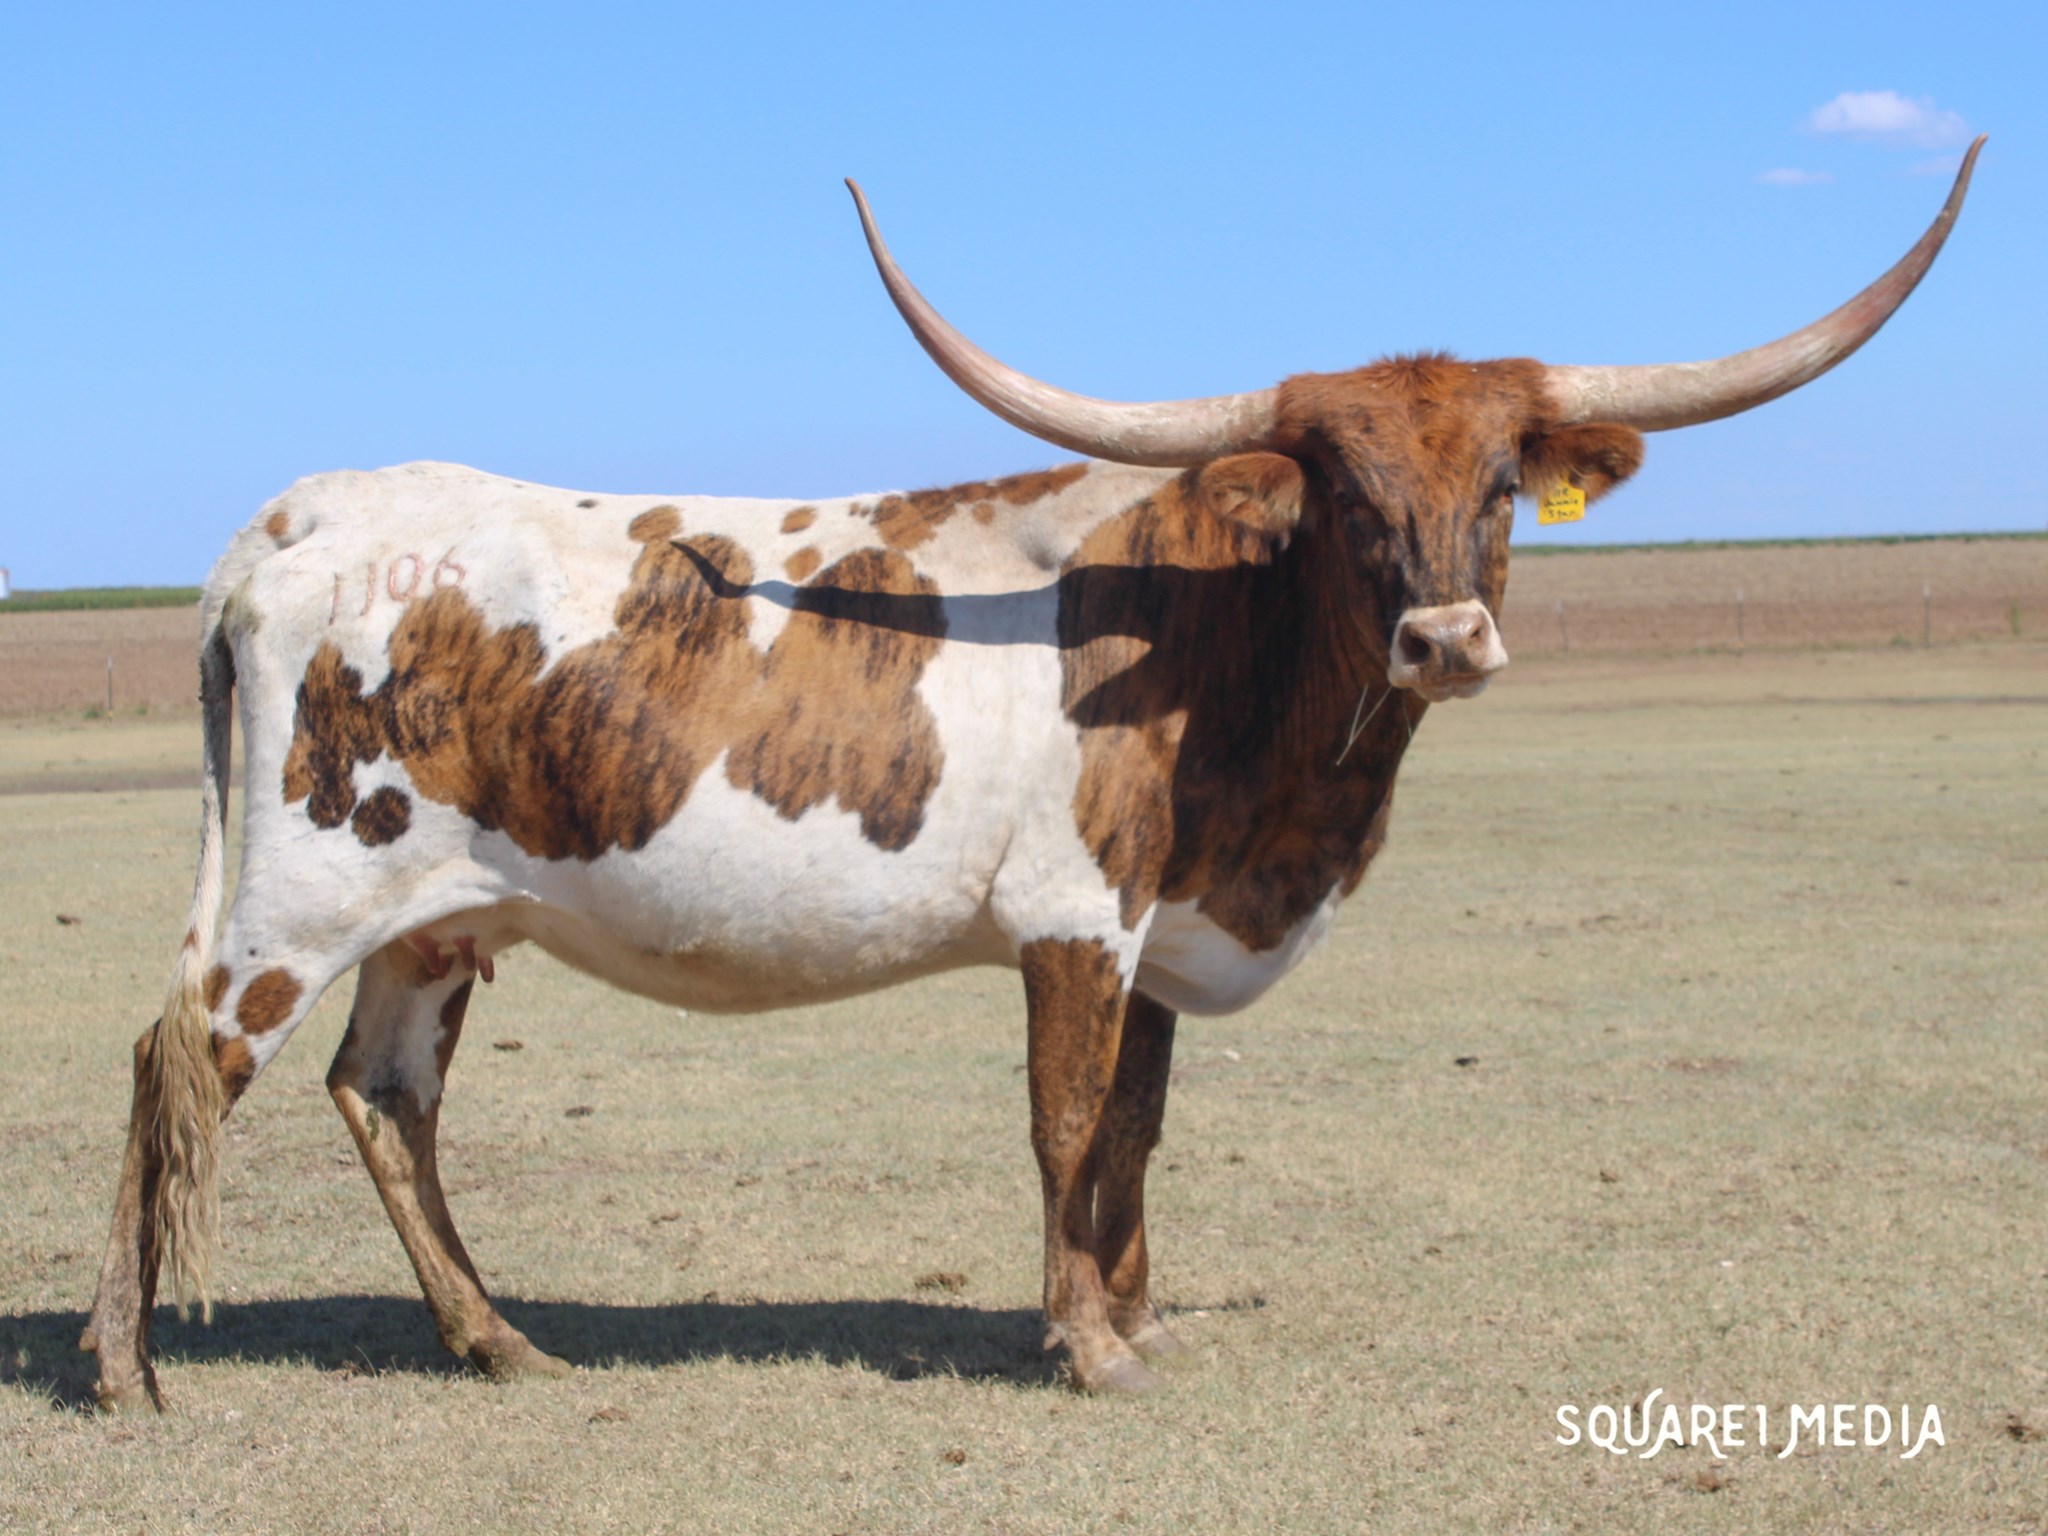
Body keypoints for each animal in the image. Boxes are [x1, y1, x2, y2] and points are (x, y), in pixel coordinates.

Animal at [82, 142, 1981, 1410]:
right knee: (179, 1064)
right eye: (1344, 492)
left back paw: (499, 1340)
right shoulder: (1075, 918)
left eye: (1504, 482)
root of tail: (302, 516)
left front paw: (1127, 1315)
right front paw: (1082, 1343)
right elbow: (1064, 1120)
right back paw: (118, 1365)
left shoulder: (1159, 927)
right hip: (291, 892)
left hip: (433, 913)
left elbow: (1135, 1125)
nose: (1445, 639)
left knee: (385, 1094)